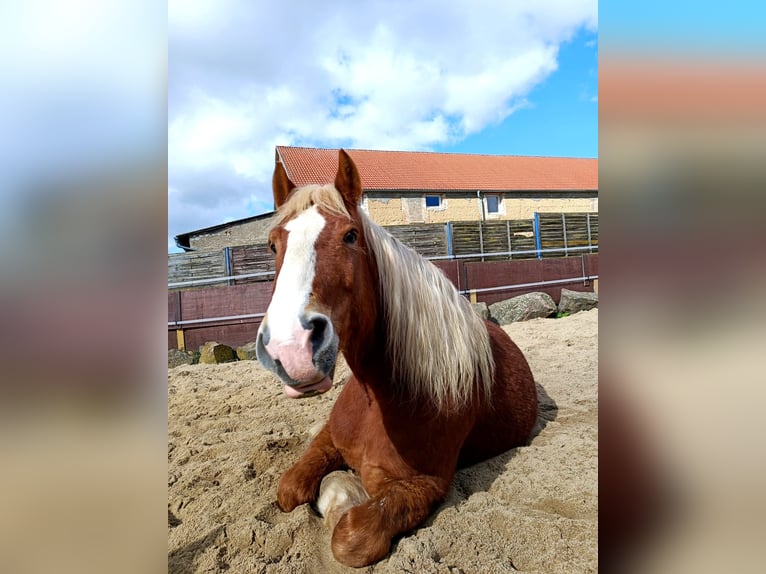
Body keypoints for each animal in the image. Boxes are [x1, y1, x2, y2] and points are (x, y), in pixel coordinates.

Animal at [255, 148, 536, 568]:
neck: (381, 395)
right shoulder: (330, 438)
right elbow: (290, 488)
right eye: (273, 244)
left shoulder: (424, 484)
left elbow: (352, 537)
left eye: (350, 235)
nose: (291, 349)